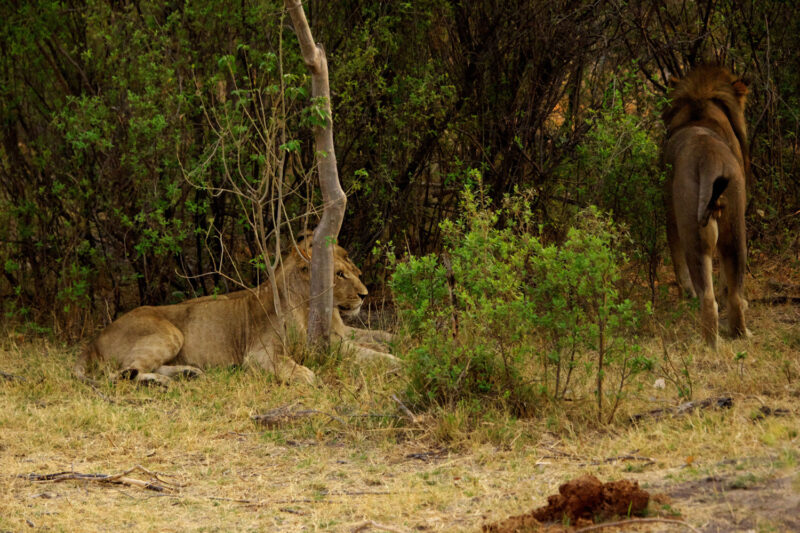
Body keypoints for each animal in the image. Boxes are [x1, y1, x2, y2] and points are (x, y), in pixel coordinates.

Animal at [75, 236, 396, 382]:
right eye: (339, 275)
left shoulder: (338, 339)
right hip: (170, 333)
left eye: (352, 271)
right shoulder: (258, 354)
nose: (364, 295)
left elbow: (376, 346)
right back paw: (159, 383)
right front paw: (306, 376)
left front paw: (397, 356)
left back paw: (187, 373)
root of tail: (94, 341)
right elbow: (296, 367)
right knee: (121, 373)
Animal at [664, 64, 752, 348]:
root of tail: (709, 158)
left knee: (709, 297)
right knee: (730, 295)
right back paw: (736, 334)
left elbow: (676, 258)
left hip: (694, 229)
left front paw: (685, 292)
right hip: (735, 228)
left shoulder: (669, 212)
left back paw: (712, 342)